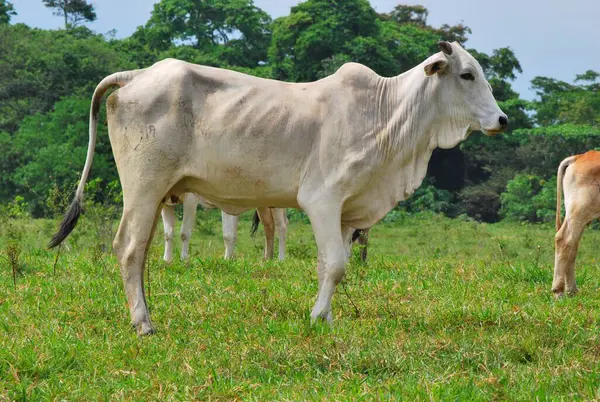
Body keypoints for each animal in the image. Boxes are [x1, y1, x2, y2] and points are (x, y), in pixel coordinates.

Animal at [50, 41, 506, 336]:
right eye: (467, 74)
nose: (501, 119)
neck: (385, 112)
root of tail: (139, 75)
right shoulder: (322, 200)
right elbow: (336, 265)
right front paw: (317, 319)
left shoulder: (346, 212)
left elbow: (329, 266)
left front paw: (326, 318)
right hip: (144, 188)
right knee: (128, 249)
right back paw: (143, 323)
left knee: (140, 252)